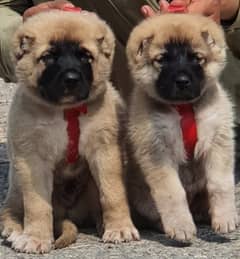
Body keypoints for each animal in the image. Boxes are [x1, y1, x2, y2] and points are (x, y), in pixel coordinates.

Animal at [0, 11, 139, 255]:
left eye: (85, 56)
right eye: (48, 57)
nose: (71, 79)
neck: (66, 111)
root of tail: (68, 213)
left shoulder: (105, 152)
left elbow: (112, 193)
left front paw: (120, 228)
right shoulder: (32, 160)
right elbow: (37, 204)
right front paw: (35, 237)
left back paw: (103, 223)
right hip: (17, 180)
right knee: (11, 209)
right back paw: (15, 230)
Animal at [125, 13, 238, 243]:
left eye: (196, 58)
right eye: (161, 60)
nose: (182, 81)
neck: (184, 107)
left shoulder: (218, 141)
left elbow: (220, 183)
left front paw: (225, 217)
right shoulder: (157, 149)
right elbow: (172, 192)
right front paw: (181, 226)